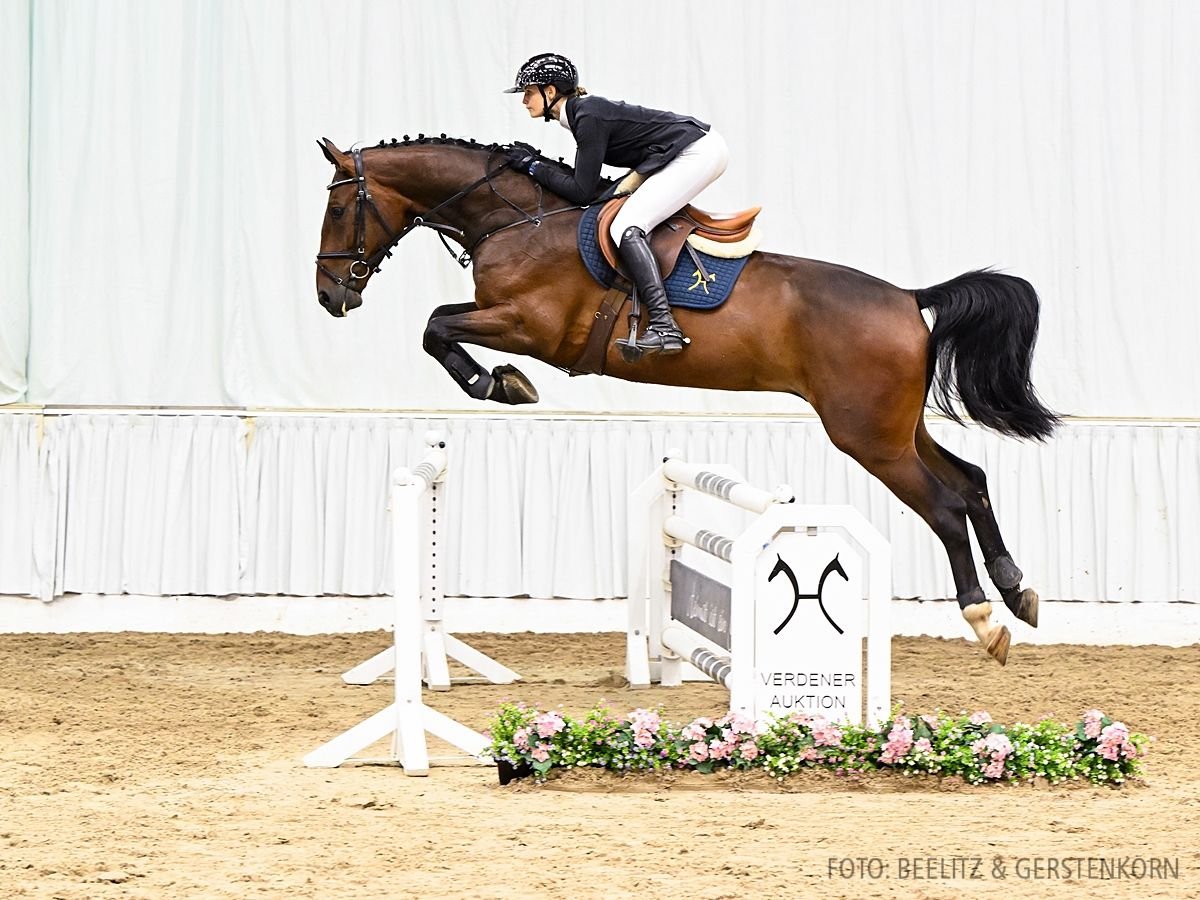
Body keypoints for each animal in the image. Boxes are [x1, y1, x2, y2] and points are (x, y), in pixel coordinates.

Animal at [312, 137, 1060, 667]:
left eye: (339, 208)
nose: (329, 296)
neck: (516, 218)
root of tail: (910, 298)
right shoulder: (508, 319)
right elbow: (440, 322)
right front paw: (501, 383)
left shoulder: (531, 327)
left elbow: (436, 326)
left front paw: (497, 383)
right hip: (896, 429)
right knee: (972, 480)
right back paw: (1017, 589)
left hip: (868, 437)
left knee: (946, 506)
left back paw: (983, 619)